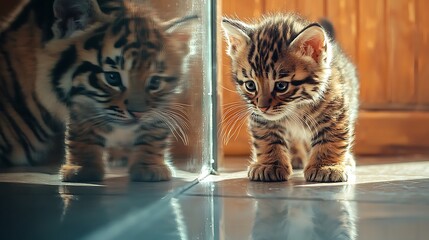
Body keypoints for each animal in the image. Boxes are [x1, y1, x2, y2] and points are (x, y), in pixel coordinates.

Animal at [0, 0, 194, 181]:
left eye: (154, 82)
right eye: (112, 77)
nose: (138, 114)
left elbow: (154, 131)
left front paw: (150, 167)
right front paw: (82, 170)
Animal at [221, 13, 358, 182]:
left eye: (281, 86)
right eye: (250, 85)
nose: (263, 107)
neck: (296, 107)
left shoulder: (335, 113)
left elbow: (331, 139)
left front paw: (326, 167)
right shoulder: (261, 118)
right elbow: (267, 139)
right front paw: (269, 165)